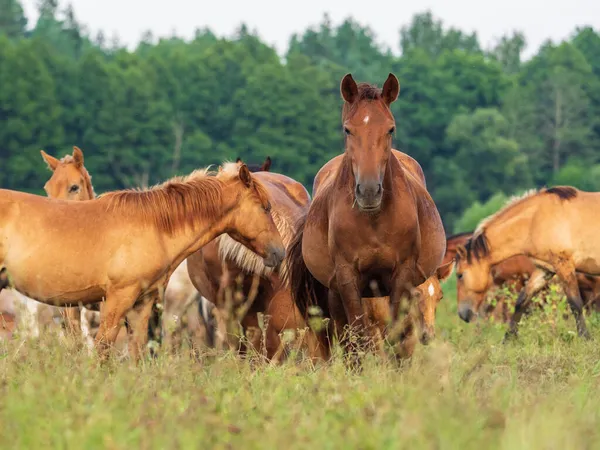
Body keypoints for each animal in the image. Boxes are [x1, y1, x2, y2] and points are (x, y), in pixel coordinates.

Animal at [284, 74, 446, 362]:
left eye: (390, 129)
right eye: (348, 129)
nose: (369, 191)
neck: (374, 222)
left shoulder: (402, 275)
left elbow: (396, 338)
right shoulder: (347, 278)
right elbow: (358, 339)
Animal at [454, 187, 600, 342]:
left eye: (460, 275)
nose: (463, 314)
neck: (535, 220)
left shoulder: (564, 266)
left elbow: (575, 304)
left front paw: (585, 338)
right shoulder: (545, 270)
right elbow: (521, 301)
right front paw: (507, 340)